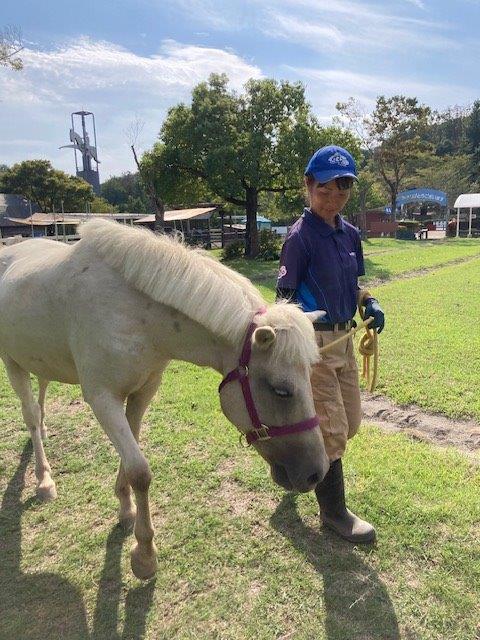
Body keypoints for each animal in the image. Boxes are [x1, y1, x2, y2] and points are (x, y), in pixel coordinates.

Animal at [0, 220, 328, 580]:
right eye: (281, 390)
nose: (317, 473)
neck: (132, 313)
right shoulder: (103, 399)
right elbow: (140, 471)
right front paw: (144, 555)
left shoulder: (142, 392)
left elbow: (131, 455)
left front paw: (125, 507)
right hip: (12, 362)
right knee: (30, 414)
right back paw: (44, 479)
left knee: (41, 396)